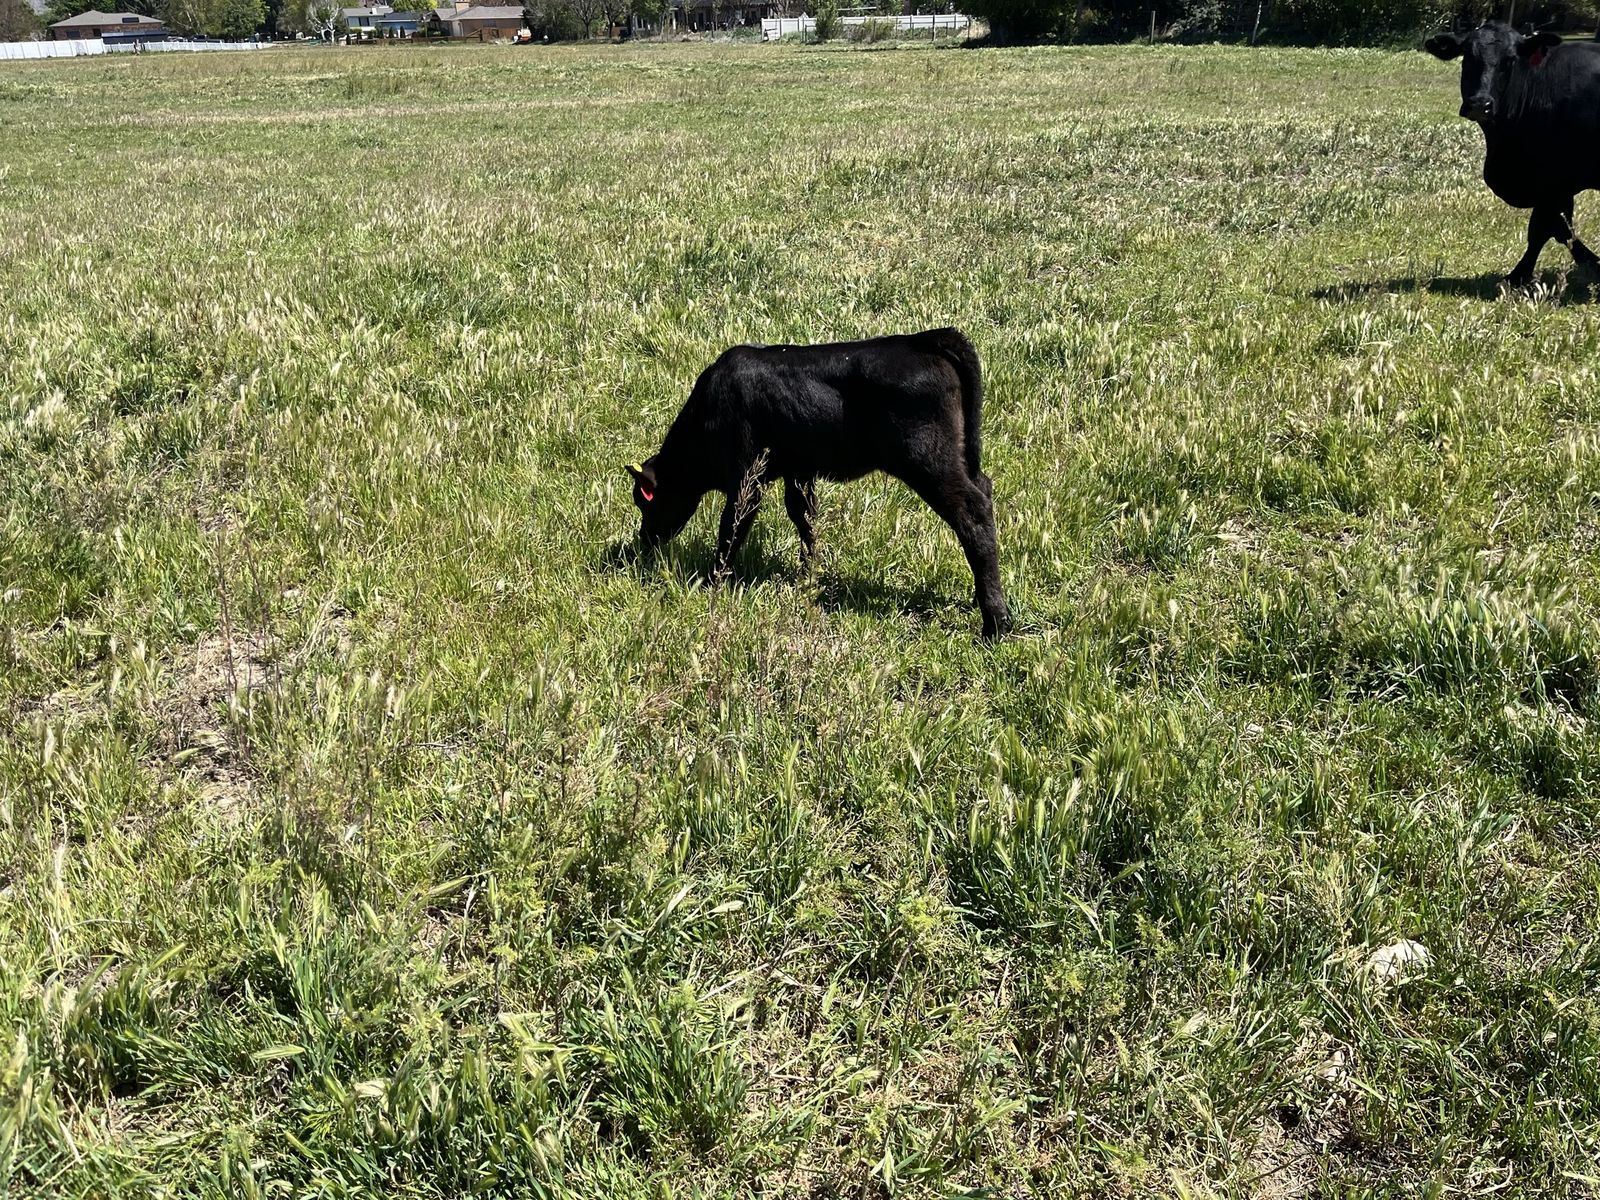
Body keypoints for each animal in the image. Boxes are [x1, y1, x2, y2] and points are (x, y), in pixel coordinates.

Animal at [624, 328, 1011, 638]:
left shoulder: (747, 476)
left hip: (927, 460)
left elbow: (732, 526)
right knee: (984, 489)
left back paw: (996, 623)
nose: (644, 541)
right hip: (959, 458)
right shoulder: (799, 471)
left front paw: (714, 579)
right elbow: (804, 517)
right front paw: (809, 573)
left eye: (645, 500)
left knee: (973, 513)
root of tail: (922, 339)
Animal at [1426, 23, 1600, 287]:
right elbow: (1559, 229)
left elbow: (1544, 229)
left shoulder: (1554, 182)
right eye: (1467, 56)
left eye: (1509, 60)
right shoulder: (1555, 186)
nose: (1480, 104)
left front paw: (1517, 276)